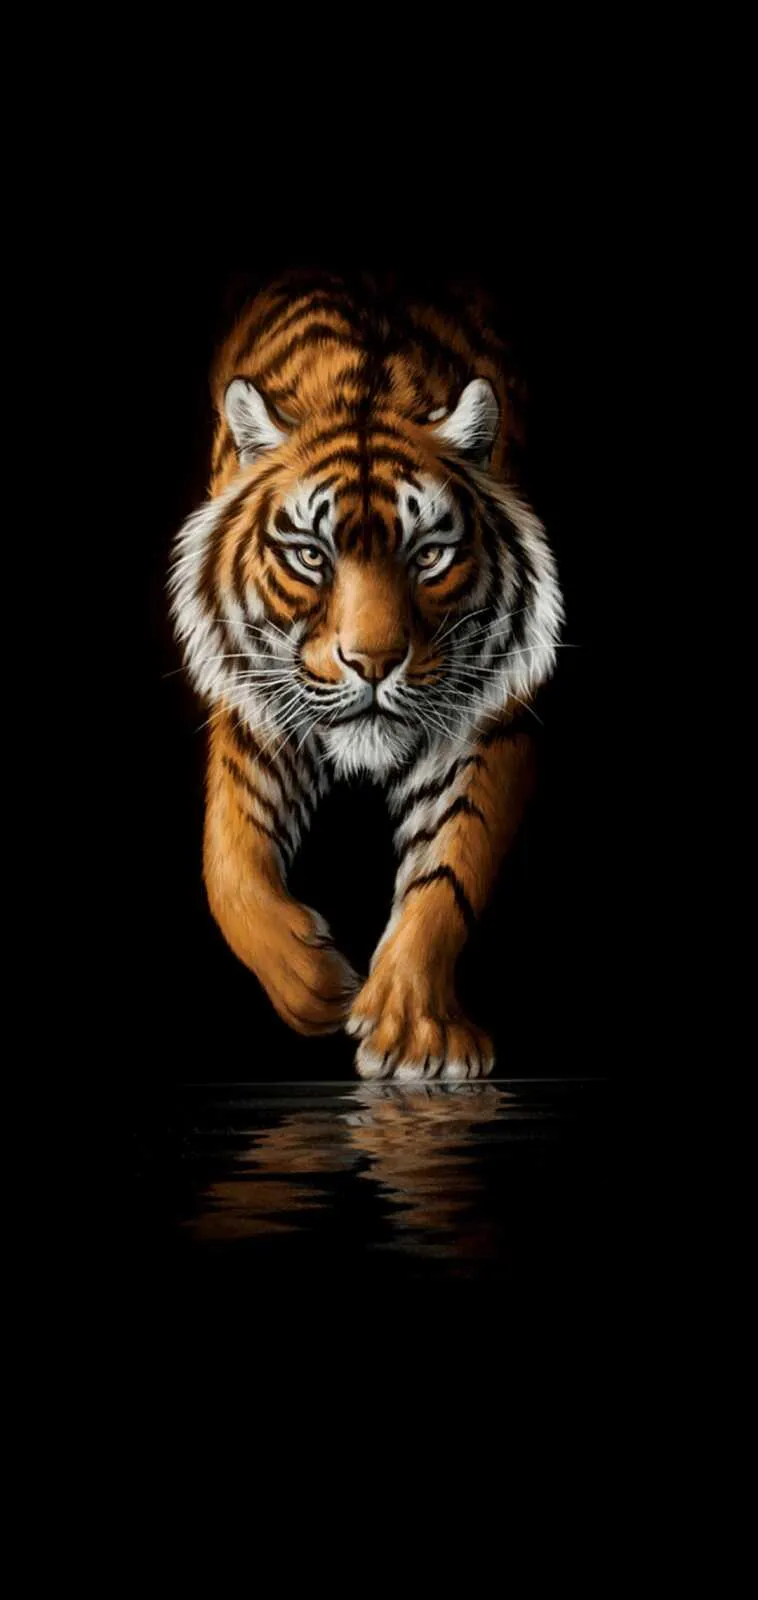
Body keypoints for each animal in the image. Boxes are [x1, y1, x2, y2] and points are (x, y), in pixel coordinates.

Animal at [169, 268, 563, 1080]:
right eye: (310, 555)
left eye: (429, 555)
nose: (374, 662)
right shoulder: (258, 697)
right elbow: (229, 856)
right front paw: (313, 983)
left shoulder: (485, 715)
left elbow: (450, 863)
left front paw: (412, 1026)